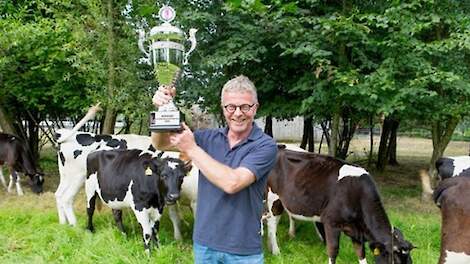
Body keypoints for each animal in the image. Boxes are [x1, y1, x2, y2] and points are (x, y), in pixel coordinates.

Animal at [266, 145, 414, 264]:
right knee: (272, 225)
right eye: (395, 260)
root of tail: (279, 146)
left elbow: (361, 255)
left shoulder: (357, 232)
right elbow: (333, 252)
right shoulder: (331, 223)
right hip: (273, 199)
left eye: (410, 261)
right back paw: (276, 251)